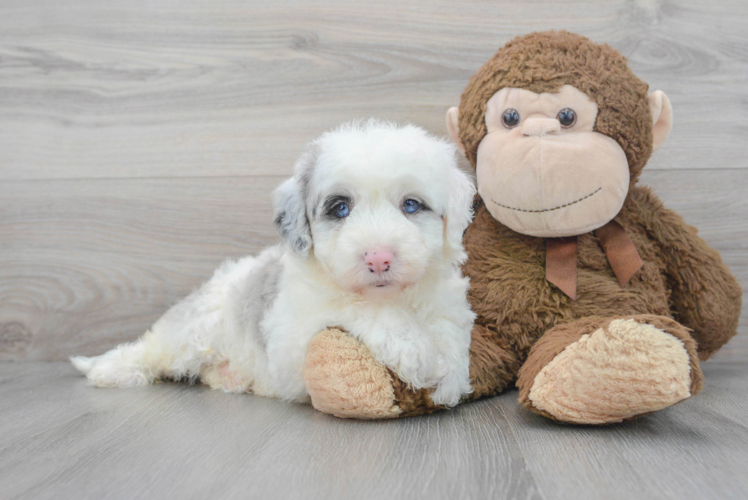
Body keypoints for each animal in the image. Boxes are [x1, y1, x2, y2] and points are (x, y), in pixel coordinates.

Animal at [73, 120, 476, 406]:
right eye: (340, 208)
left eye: (411, 205)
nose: (379, 258)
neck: (396, 297)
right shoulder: (292, 338)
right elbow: (357, 306)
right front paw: (417, 351)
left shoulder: (446, 303)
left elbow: (451, 333)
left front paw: (450, 376)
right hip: (193, 330)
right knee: (152, 348)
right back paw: (106, 369)